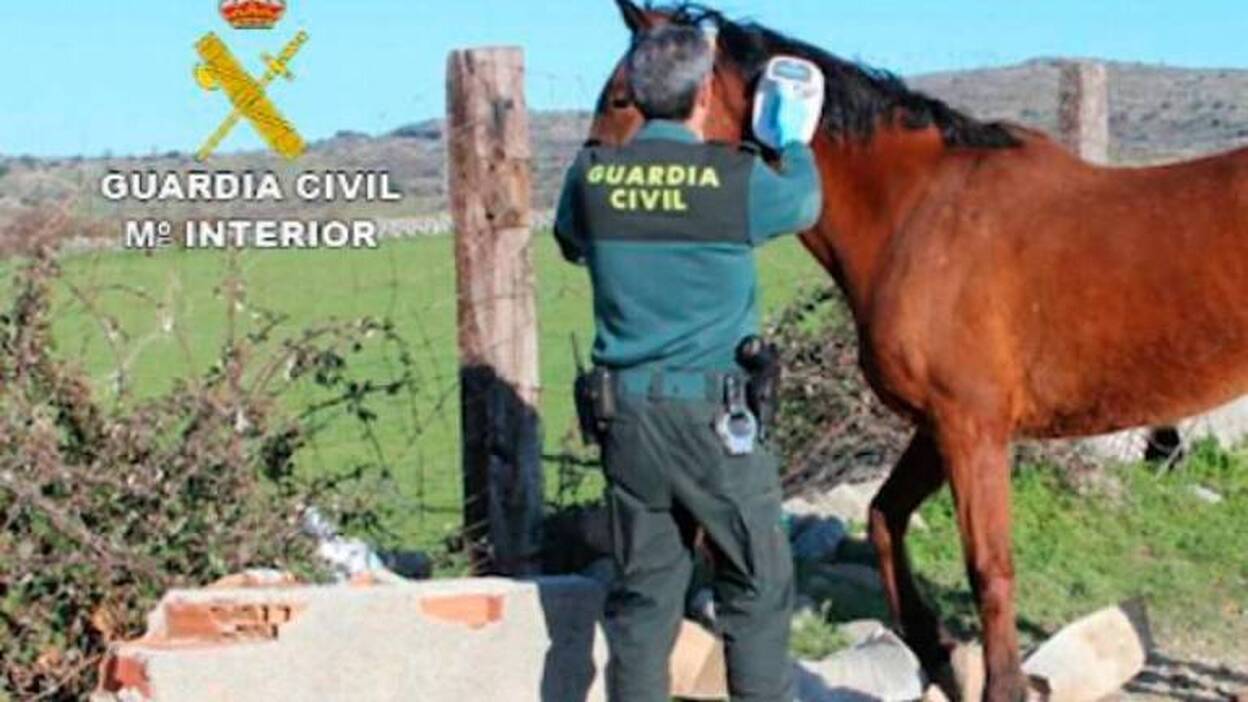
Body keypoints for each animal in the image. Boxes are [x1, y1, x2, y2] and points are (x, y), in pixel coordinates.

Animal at [590, 2, 1248, 700]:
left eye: (622, 98)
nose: (584, 212)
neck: (919, 210)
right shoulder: (938, 427)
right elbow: (884, 516)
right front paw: (936, 647)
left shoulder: (971, 429)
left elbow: (989, 567)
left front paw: (1000, 684)